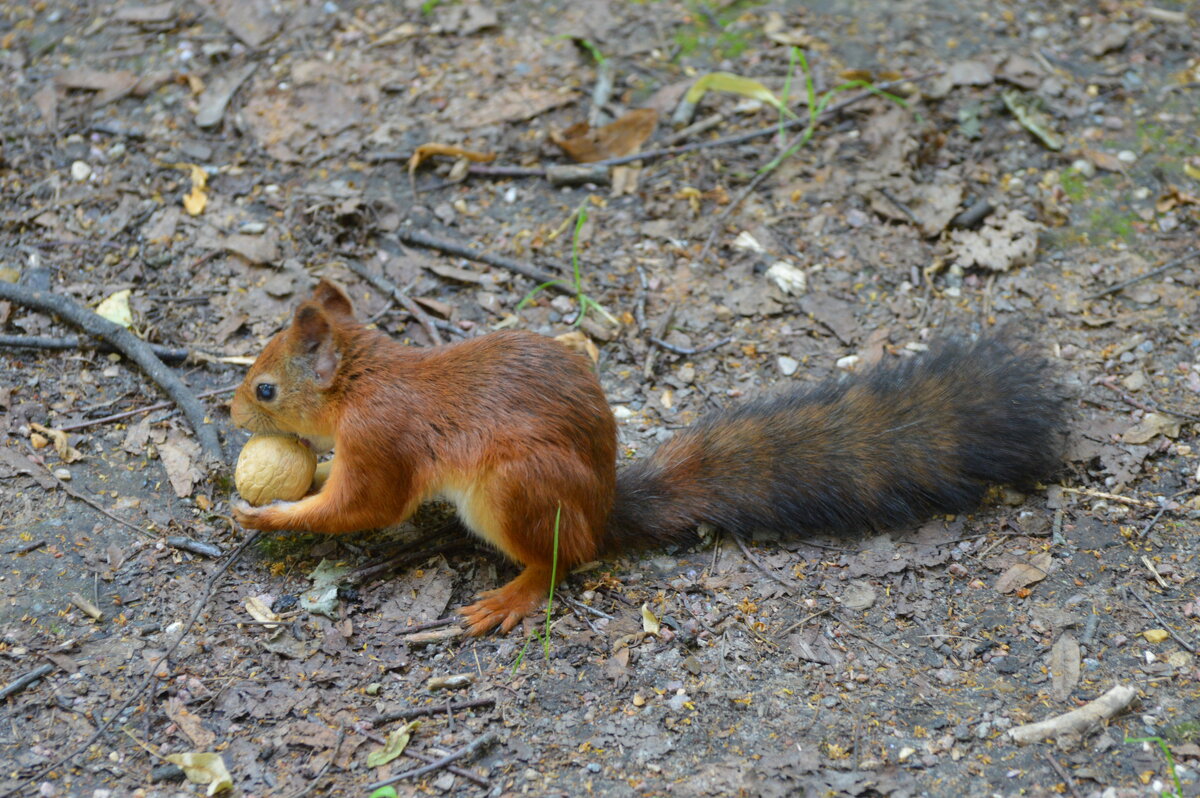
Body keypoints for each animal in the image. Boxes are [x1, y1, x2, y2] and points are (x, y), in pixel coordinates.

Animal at [231, 279, 1060, 633]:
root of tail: (603, 508)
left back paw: (513, 597)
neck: (366, 380)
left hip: (516, 491)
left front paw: (265, 512)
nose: (230, 411)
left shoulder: (383, 443)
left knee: (566, 560)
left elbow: (362, 507)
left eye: (266, 388)